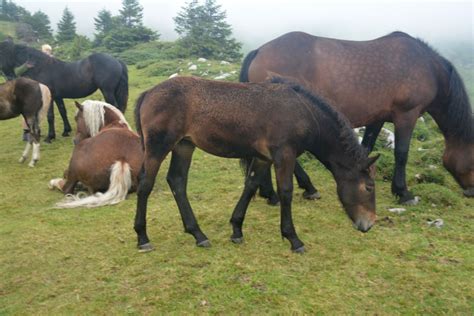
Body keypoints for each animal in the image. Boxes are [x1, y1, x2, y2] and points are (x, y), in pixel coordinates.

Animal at [0, 39, 129, 142]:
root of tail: (116, 60)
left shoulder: (50, 97)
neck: (42, 68)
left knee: (115, 107)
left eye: (5, 53)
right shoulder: (58, 97)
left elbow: (50, 116)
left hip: (107, 91)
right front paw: (66, 131)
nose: (9, 77)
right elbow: (63, 112)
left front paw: (50, 137)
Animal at [135, 77, 380, 254]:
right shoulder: (284, 155)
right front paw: (293, 239)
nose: (368, 225)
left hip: (184, 145)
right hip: (159, 146)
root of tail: (148, 93)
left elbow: (250, 185)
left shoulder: (264, 158)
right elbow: (286, 192)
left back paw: (198, 235)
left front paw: (236, 230)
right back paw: (142, 237)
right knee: (146, 185)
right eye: (369, 187)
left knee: (177, 181)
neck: (303, 113)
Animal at [241, 31, 474, 202]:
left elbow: (366, 148)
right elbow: (401, 153)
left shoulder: (378, 118)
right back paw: (302, 188)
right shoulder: (407, 115)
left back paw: (271, 193)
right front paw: (403, 193)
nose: (472, 191)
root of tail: (259, 51)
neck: (429, 69)